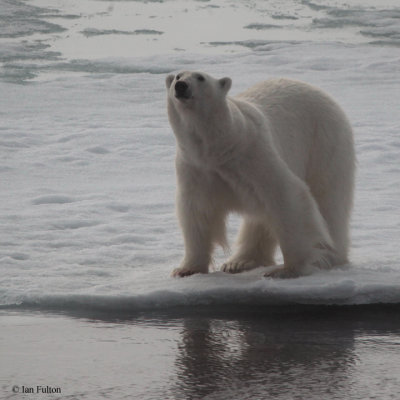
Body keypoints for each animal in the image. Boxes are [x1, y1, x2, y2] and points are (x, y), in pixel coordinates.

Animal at [166, 71, 356, 278]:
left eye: (200, 77)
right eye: (177, 76)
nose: (181, 86)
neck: (220, 148)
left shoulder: (254, 155)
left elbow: (287, 197)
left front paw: (288, 269)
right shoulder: (196, 168)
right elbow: (196, 211)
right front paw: (187, 269)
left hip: (324, 144)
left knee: (328, 202)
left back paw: (329, 256)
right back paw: (239, 262)